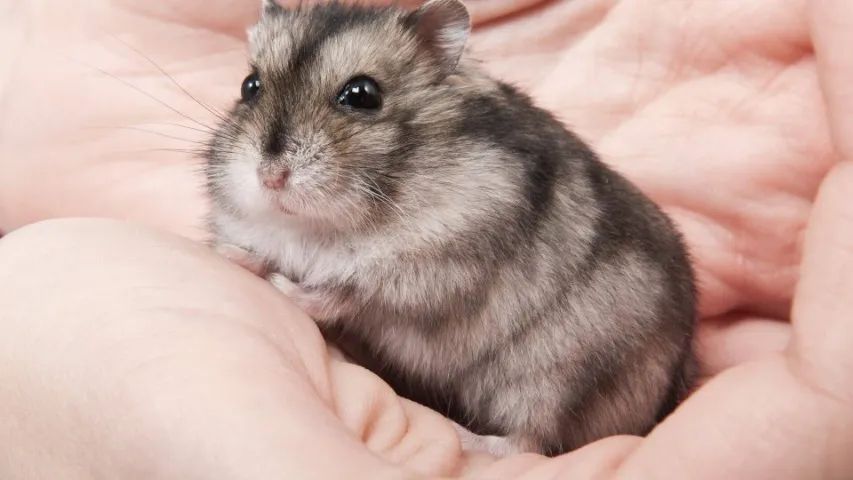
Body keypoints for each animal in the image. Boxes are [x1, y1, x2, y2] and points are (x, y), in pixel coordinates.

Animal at [205, 0, 697, 456]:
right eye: (249, 86)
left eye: (362, 94)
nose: (270, 177)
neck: (322, 226)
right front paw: (231, 255)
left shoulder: (435, 268)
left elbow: (339, 294)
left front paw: (280, 284)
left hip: (557, 378)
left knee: (526, 442)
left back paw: (467, 438)